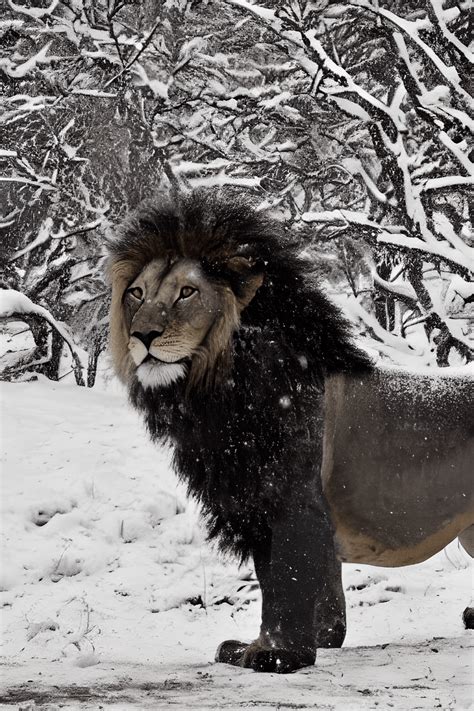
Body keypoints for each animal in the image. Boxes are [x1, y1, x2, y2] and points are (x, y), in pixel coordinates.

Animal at [108, 189, 474, 673]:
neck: (221, 392)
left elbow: (286, 582)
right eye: (137, 293)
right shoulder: (257, 508)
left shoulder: (289, 503)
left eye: (187, 292)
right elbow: (284, 585)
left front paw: (278, 653)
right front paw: (277, 645)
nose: (143, 334)